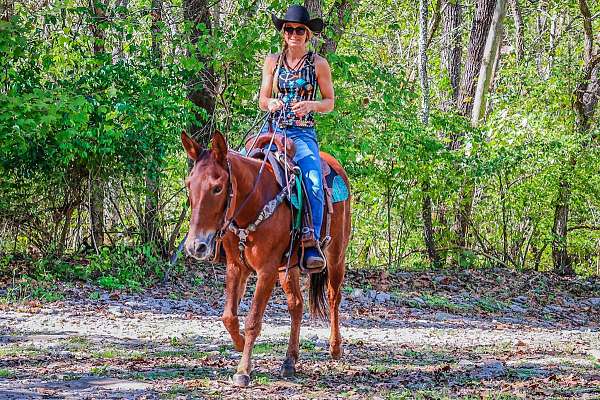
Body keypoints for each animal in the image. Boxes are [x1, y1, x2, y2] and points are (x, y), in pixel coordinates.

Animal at [183, 131, 352, 388]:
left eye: (217, 188)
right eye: (188, 185)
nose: (196, 246)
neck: (253, 203)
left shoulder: (267, 270)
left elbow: (253, 319)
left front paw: (243, 370)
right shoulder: (236, 267)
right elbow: (229, 317)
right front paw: (241, 344)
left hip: (336, 256)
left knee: (334, 297)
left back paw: (335, 347)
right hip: (288, 267)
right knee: (296, 305)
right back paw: (289, 361)